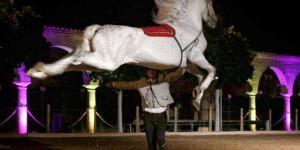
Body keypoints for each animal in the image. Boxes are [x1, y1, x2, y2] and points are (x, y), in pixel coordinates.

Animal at [27, 0, 217, 110]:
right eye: (211, 4)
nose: (214, 21)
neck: (187, 25)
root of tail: (99, 28)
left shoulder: (187, 63)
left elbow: (201, 75)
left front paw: (197, 98)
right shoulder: (196, 56)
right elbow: (212, 70)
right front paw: (198, 95)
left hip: (97, 62)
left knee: (73, 62)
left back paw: (40, 71)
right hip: (105, 62)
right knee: (77, 56)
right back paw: (39, 69)